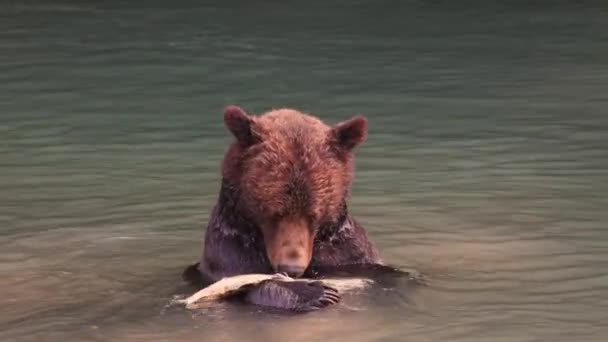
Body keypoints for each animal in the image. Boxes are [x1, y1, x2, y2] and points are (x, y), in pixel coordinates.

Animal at [183, 105, 396, 312]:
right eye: (274, 214)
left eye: (313, 215)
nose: (292, 268)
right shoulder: (230, 249)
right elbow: (247, 283)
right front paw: (317, 293)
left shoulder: (346, 252)